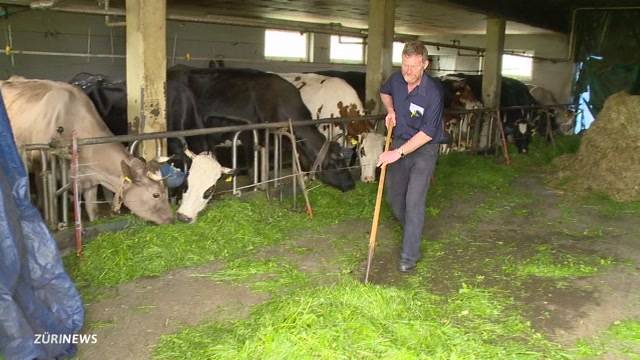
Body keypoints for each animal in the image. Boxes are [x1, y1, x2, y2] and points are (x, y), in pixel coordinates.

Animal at [0, 77, 174, 224]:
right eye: (156, 194)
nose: (171, 219)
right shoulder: (39, 164)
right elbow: (44, 198)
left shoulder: (91, 179)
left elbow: (93, 210)